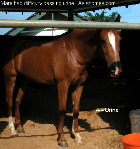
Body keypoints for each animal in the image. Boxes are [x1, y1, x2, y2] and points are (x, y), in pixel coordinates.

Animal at [2, 15, 121, 146]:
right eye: (103, 40)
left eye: (119, 39)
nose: (116, 69)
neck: (73, 52)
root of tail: (13, 47)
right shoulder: (62, 84)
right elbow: (62, 110)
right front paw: (62, 139)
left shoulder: (79, 85)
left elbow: (76, 110)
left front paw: (77, 135)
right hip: (10, 78)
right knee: (10, 102)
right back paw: (13, 131)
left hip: (24, 80)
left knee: (18, 101)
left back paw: (20, 128)